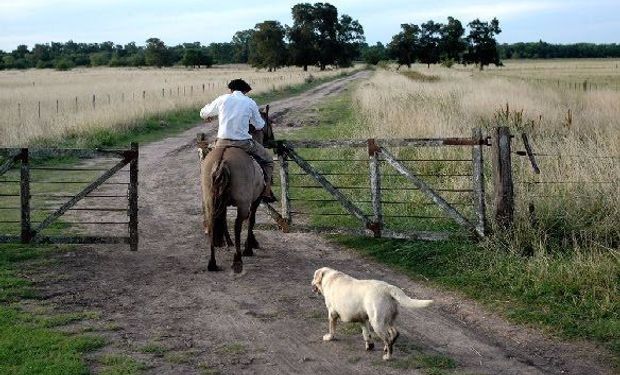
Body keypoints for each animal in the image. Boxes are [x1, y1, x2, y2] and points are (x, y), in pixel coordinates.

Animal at [201, 106, 274, 274]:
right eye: (269, 123)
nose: (272, 140)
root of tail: (222, 161)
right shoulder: (255, 200)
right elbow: (252, 220)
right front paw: (250, 246)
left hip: (210, 201)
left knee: (212, 223)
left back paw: (212, 263)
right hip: (242, 204)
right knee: (238, 225)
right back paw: (238, 259)